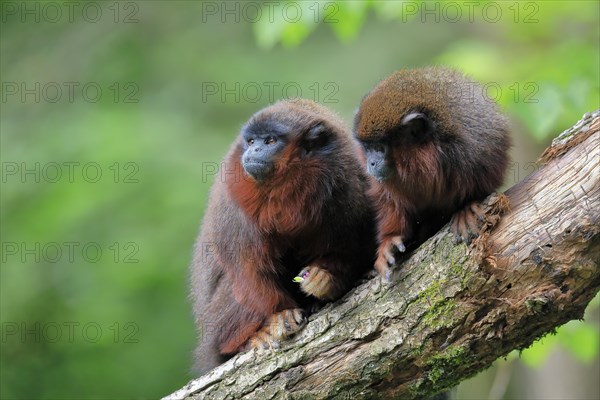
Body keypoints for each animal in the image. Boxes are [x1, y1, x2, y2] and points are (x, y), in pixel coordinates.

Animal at [190, 98, 376, 374]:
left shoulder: (348, 181)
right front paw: (279, 314)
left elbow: (356, 243)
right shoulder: (235, 198)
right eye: (251, 141)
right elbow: (246, 266)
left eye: (270, 141)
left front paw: (326, 278)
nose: (254, 150)